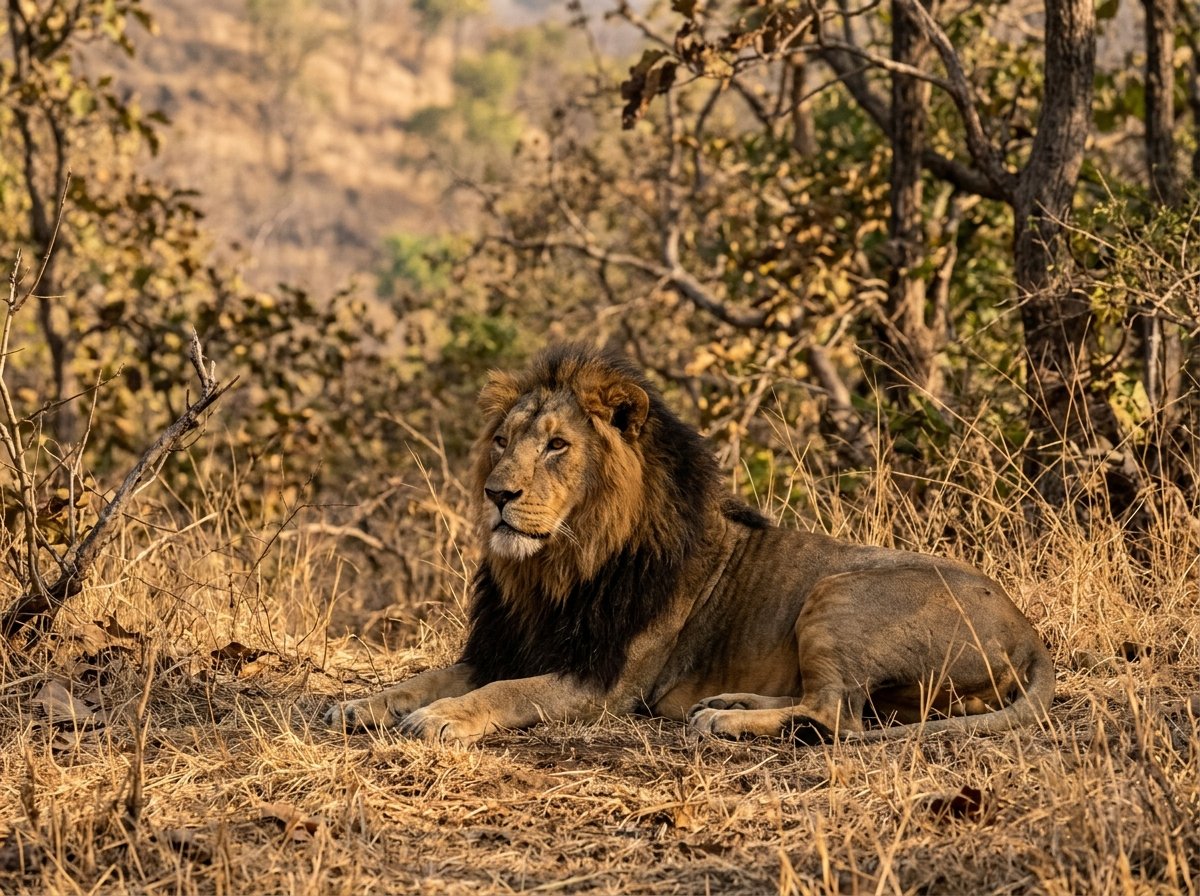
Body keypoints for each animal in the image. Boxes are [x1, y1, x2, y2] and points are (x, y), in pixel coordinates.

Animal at [325, 343, 1054, 745]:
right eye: (502, 441)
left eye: (558, 445)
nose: (496, 494)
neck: (556, 571)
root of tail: (1029, 633)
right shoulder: (501, 647)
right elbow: (426, 677)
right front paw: (362, 704)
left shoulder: (606, 683)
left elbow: (509, 693)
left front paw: (441, 719)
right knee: (842, 707)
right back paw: (726, 704)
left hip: (838, 592)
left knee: (835, 715)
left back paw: (725, 723)